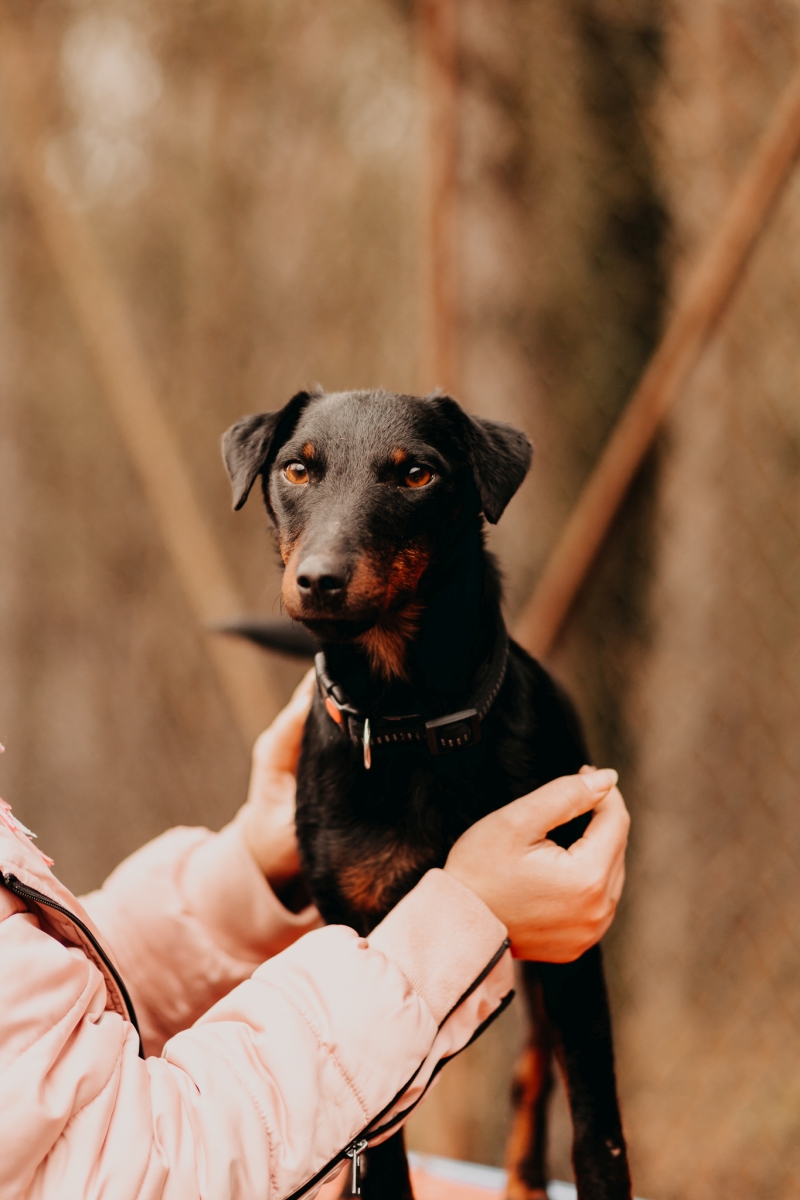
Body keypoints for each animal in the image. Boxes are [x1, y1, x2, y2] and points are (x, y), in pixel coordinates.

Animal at [222, 387, 632, 1200]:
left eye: (416, 473)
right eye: (296, 469)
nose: (319, 580)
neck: (410, 726)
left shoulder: (575, 931)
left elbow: (596, 1128)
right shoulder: (361, 939)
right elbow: (379, 1158)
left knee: (531, 1072)